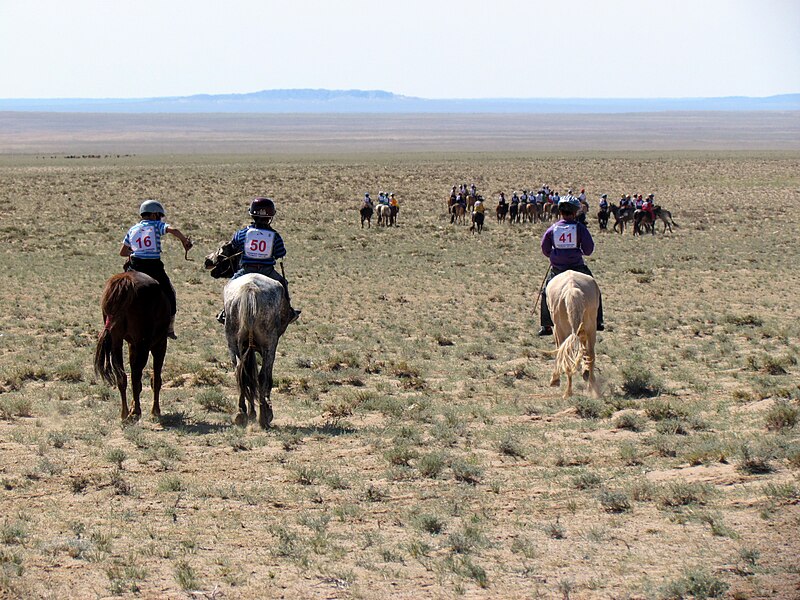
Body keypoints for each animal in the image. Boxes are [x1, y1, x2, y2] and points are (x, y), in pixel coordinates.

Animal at [94, 272, 169, 422]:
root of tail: (126, 281)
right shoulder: (160, 344)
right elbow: (156, 379)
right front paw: (155, 411)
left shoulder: (131, 345)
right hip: (143, 344)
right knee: (135, 376)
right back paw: (136, 412)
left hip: (116, 341)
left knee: (122, 376)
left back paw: (125, 413)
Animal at [223, 274, 292, 428]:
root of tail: (250, 289)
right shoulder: (270, 347)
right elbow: (266, 379)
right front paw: (266, 411)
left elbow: (249, 375)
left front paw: (251, 412)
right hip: (269, 344)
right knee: (262, 376)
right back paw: (263, 418)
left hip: (233, 343)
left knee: (239, 372)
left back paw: (241, 413)